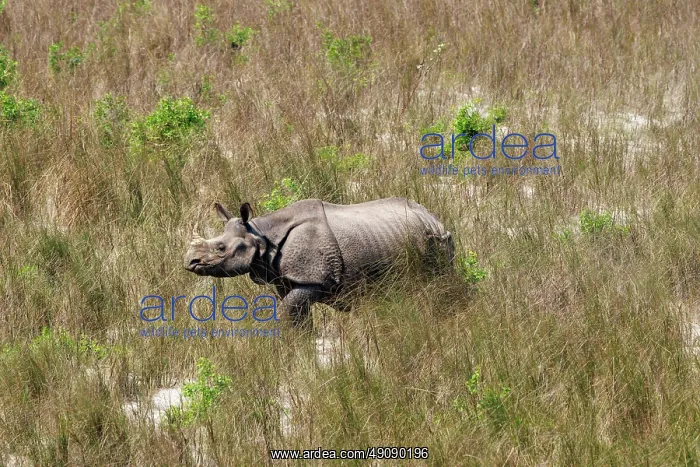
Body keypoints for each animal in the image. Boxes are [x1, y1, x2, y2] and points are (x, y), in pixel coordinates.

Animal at [183, 197, 454, 326]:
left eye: (221, 248)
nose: (189, 261)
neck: (262, 235)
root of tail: (434, 217)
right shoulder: (285, 280)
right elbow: (296, 314)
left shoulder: (315, 279)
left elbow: (288, 310)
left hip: (436, 240)